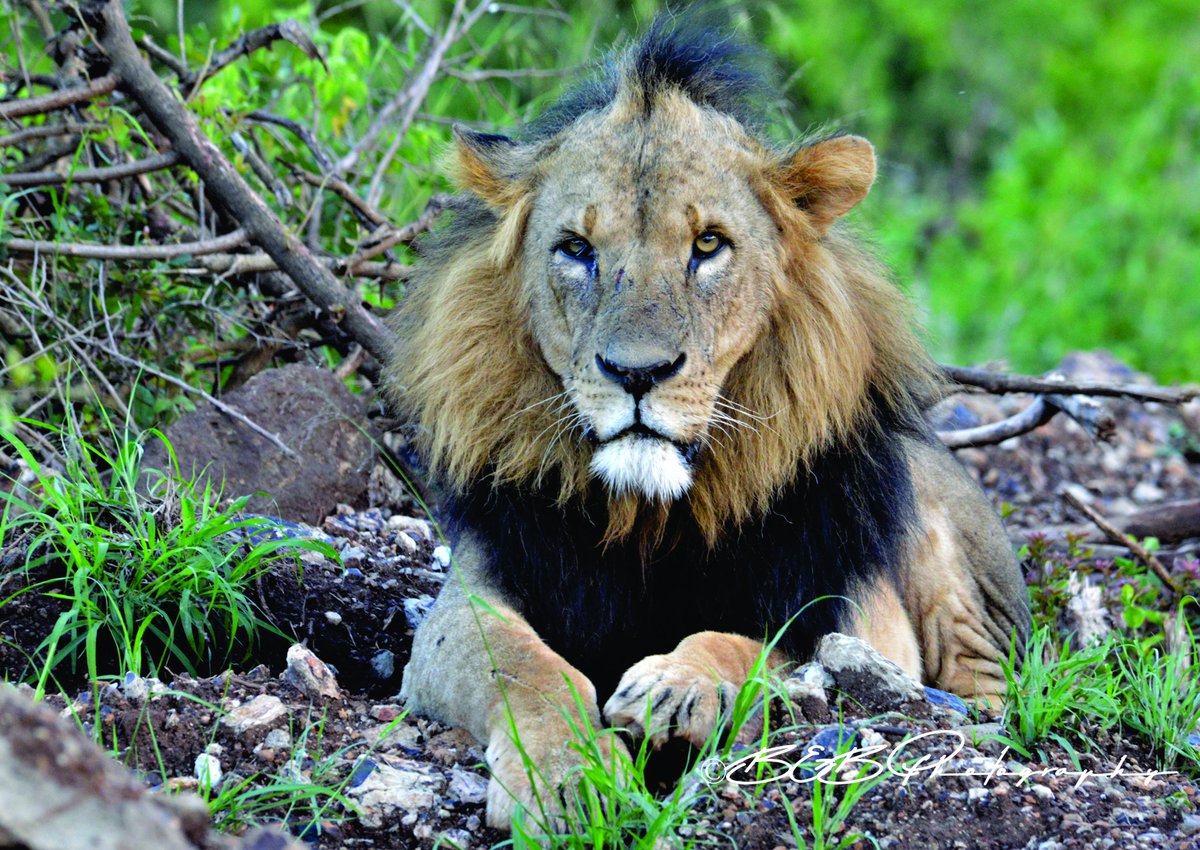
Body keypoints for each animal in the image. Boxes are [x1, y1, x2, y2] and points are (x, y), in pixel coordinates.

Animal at [386, 16, 1031, 831]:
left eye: (708, 245)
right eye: (576, 250)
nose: (636, 373)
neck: (648, 517)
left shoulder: (848, 618)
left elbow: (746, 641)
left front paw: (675, 687)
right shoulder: (468, 602)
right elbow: (530, 669)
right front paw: (567, 780)